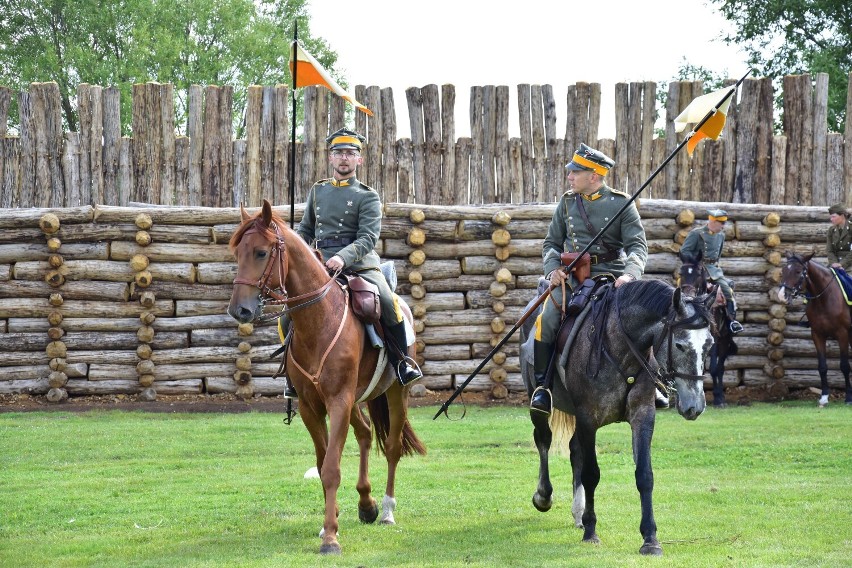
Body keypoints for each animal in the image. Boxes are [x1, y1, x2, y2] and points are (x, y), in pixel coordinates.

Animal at [228, 200, 424, 556]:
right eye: (238, 253)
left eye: (261, 252)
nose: (240, 310)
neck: (319, 320)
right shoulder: (310, 406)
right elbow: (321, 466)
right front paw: (328, 524)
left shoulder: (338, 401)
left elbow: (332, 468)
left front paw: (331, 537)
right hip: (358, 400)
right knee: (365, 433)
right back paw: (366, 504)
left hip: (394, 394)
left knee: (391, 447)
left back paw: (386, 510)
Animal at [520, 278, 712, 556]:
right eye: (680, 345)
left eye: (709, 345)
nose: (695, 406)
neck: (619, 345)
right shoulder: (588, 418)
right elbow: (591, 474)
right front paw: (591, 532)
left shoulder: (643, 416)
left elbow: (644, 475)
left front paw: (650, 538)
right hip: (540, 400)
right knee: (543, 439)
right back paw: (544, 496)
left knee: (574, 451)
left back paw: (577, 514)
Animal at [680, 251, 740, 406]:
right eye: (681, 272)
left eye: (698, 272)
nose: (687, 294)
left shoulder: (714, 337)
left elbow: (713, 368)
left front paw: (718, 398)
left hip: (725, 340)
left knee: (720, 368)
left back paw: (721, 396)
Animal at [780, 251, 852, 406]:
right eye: (783, 270)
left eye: (798, 271)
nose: (782, 295)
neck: (825, 298)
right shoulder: (817, 335)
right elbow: (822, 366)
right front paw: (824, 397)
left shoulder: (842, 334)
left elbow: (844, 365)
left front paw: (849, 397)